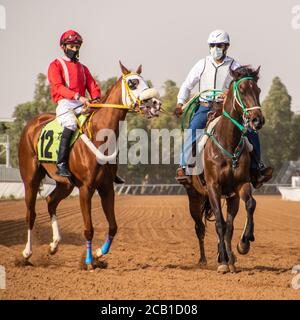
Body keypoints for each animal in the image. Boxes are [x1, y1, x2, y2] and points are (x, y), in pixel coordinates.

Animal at [19, 61, 162, 268]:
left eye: (145, 81)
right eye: (133, 83)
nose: (156, 104)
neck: (98, 134)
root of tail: (31, 124)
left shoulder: (106, 187)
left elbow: (113, 226)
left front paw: (99, 253)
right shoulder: (86, 188)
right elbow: (89, 229)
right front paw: (88, 261)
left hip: (66, 184)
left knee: (51, 201)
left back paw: (54, 245)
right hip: (31, 179)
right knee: (31, 214)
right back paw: (27, 253)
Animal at [186, 66, 266, 274]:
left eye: (258, 90)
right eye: (243, 90)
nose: (257, 120)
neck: (227, 142)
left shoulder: (240, 186)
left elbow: (249, 206)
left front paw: (243, 245)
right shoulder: (213, 187)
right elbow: (220, 224)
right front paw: (222, 261)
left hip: (230, 197)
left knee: (229, 224)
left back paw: (230, 257)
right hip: (194, 196)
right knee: (200, 227)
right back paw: (204, 259)